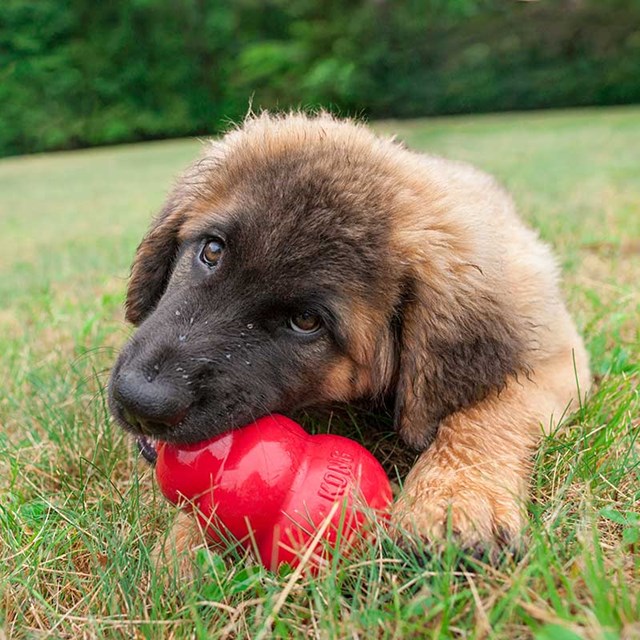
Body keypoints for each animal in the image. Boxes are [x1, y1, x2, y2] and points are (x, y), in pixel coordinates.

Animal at [109, 112, 592, 564]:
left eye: (307, 321)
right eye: (212, 250)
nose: (140, 402)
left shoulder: (557, 358)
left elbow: (489, 411)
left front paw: (456, 495)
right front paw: (188, 541)